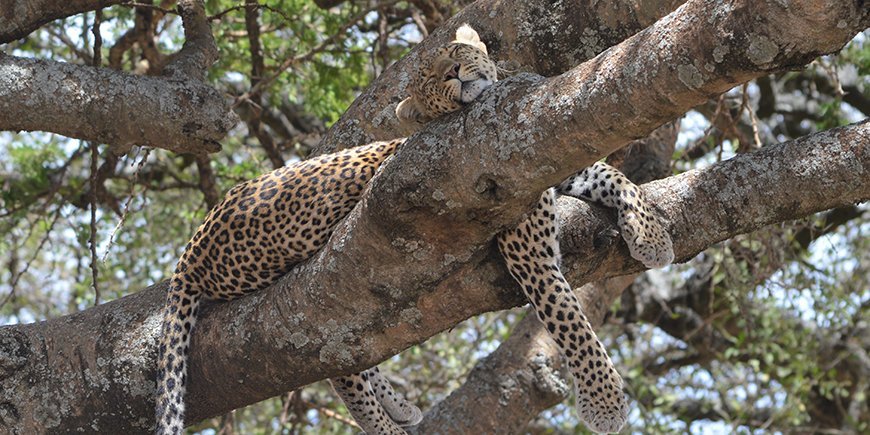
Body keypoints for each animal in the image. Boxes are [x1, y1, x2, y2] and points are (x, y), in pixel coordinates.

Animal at [154, 24, 674, 435]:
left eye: (455, 53)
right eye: (430, 85)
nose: (454, 74)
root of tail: (192, 250)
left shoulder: (549, 157)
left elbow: (610, 173)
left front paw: (652, 237)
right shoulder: (527, 245)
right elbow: (568, 318)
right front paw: (604, 401)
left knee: (347, 356)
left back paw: (399, 405)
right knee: (335, 366)